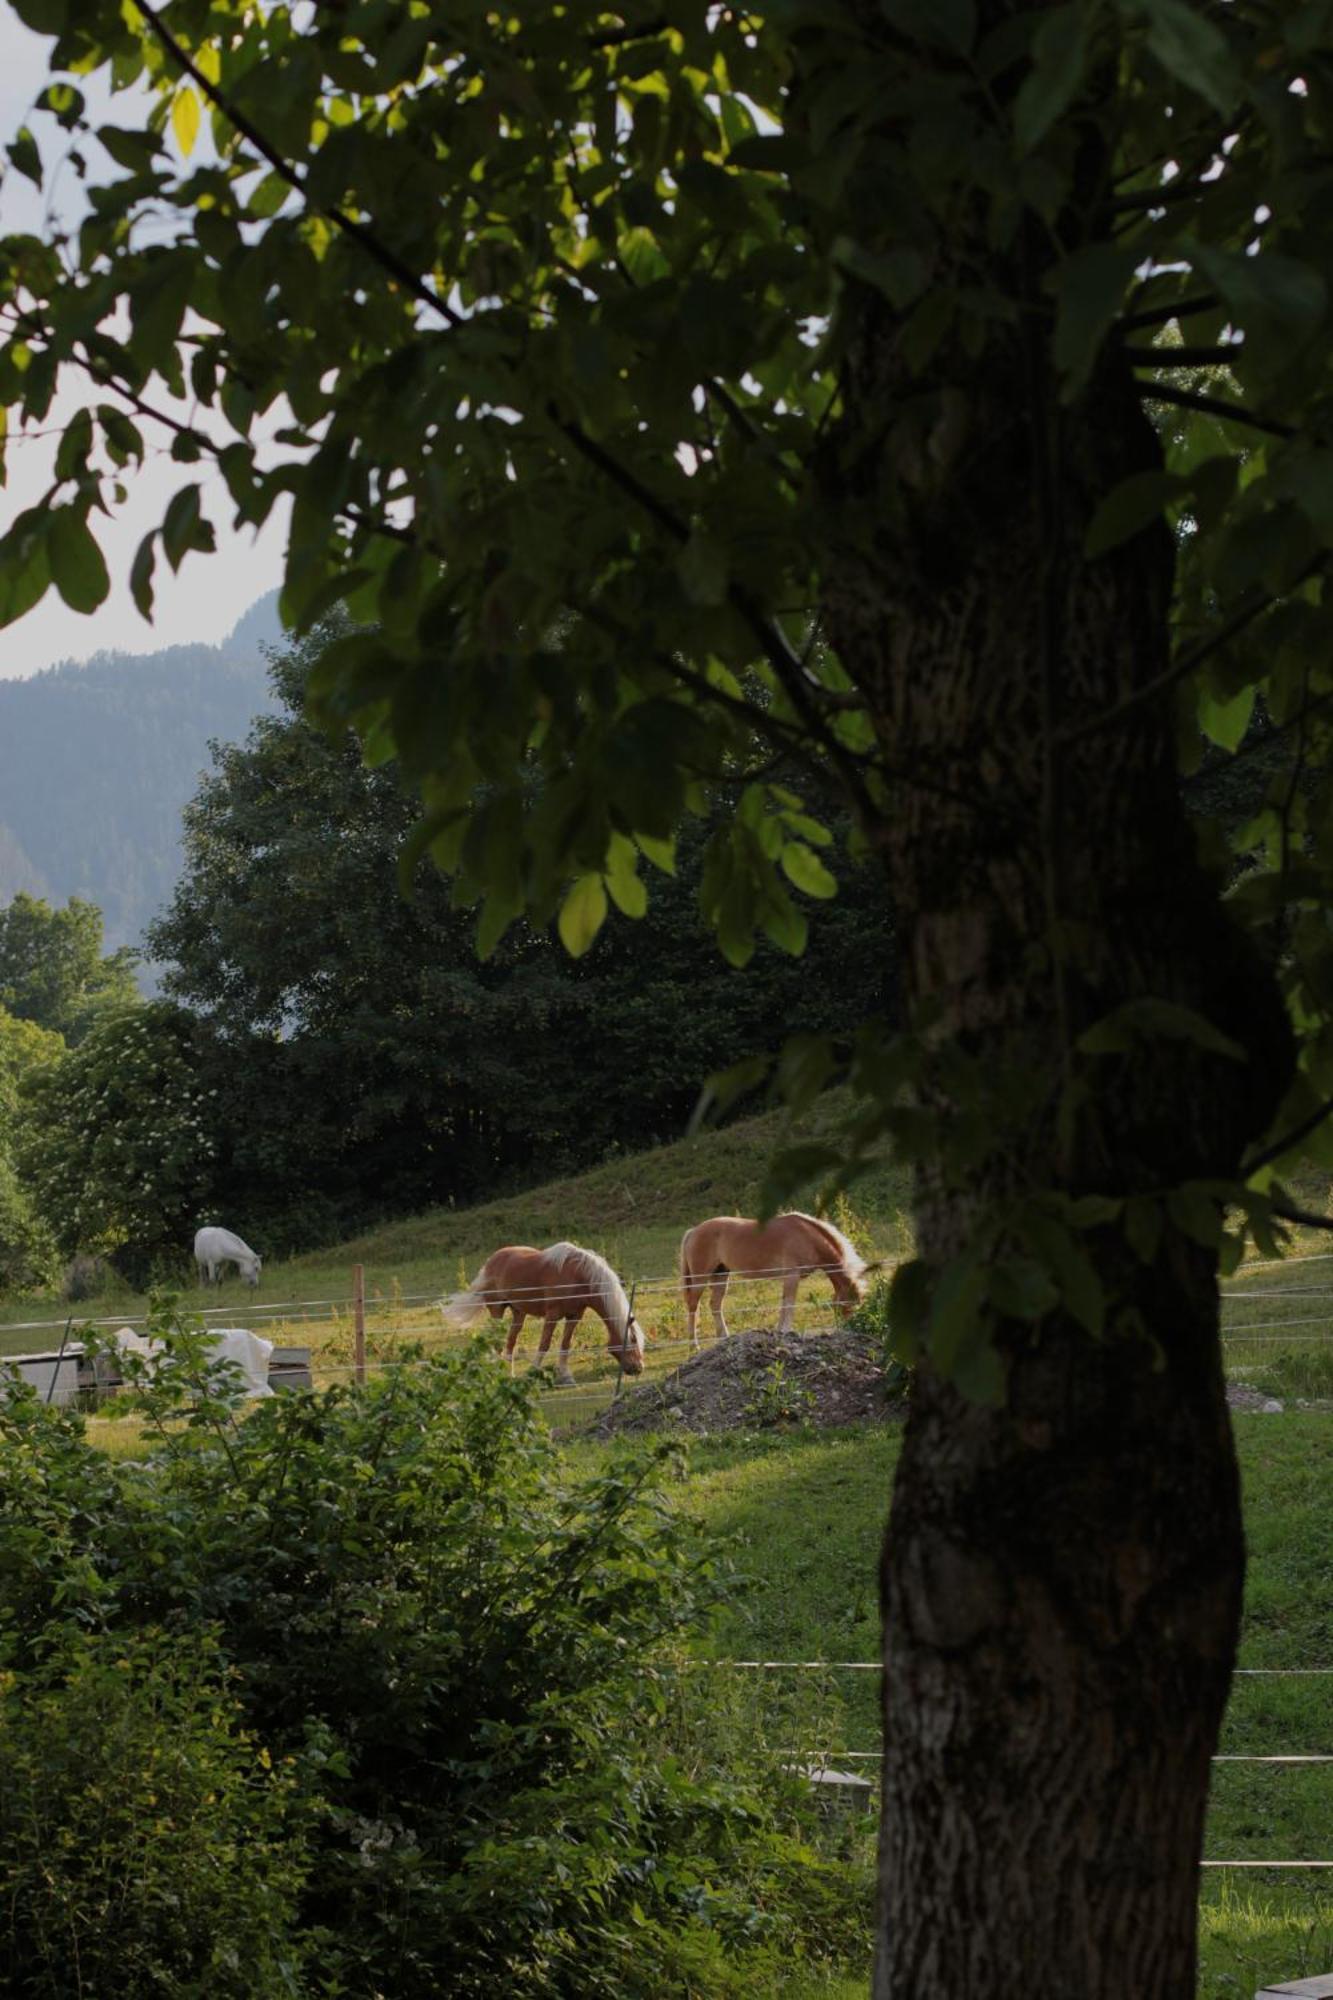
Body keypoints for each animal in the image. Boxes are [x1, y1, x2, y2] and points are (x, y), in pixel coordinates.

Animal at [436, 1240, 644, 1384]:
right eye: (633, 1340)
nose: (639, 1368)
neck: (579, 1276)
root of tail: (490, 1262)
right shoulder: (552, 1315)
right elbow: (544, 1344)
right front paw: (533, 1372)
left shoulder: (574, 1316)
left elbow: (565, 1345)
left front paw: (566, 1377)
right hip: (497, 1311)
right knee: (497, 1343)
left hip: (518, 1313)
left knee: (510, 1342)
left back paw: (510, 1375)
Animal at [680, 1208, 868, 1352]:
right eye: (848, 1305)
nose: (847, 1330)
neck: (807, 1237)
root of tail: (693, 1231)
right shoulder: (792, 1276)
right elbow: (789, 1304)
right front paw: (785, 1331)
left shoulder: (789, 1278)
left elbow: (784, 1304)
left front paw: (780, 1331)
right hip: (700, 1278)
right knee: (693, 1306)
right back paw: (694, 1346)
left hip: (720, 1275)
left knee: (715, 1305)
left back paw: (724, 1337)